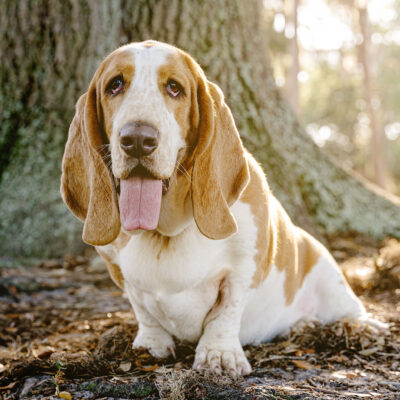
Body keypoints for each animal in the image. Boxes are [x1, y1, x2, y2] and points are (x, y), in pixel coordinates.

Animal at [61, 40, 372, 376]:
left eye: (174, 88)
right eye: (115, 85)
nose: (138, 139)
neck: (166, 232)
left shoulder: (244, 267)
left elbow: (226, 311)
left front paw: (219, 355)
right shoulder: (117, 268)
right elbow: (143, 309)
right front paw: (150, 344)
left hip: (329, 276)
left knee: (352, 309)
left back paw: (363, 326)